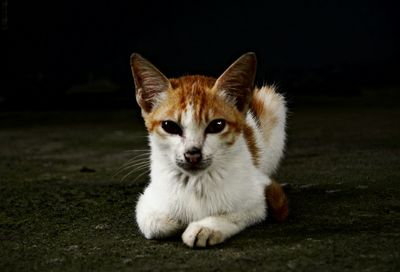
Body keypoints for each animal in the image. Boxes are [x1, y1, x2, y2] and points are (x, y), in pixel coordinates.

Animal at [130, 52, 288, 248]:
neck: (195, 182)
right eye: (170, 126)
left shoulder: (259, 198)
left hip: (273, 103)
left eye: (217, 125)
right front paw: (178, 221)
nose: (192, 153)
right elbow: (156, 223)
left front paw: (206, 227)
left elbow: (237, 213)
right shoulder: (147, 200)